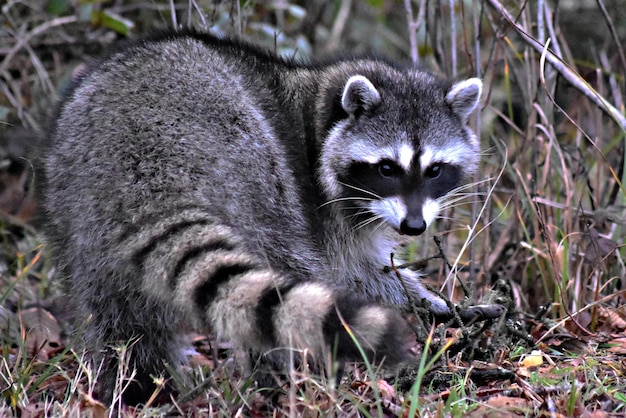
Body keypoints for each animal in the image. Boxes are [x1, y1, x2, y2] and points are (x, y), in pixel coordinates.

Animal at [40, 31, 482, 404]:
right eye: (387, 168)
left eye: (435, 170)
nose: (414, 227)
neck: (320, 105)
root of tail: (149, 162)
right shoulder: (320, 205)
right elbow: (350, 270)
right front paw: (420, 299)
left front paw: (426, 298)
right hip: (253, 175)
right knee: (285, 272)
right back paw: (287, 377)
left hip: (80, 213)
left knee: (120, 320)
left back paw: (138, 386)